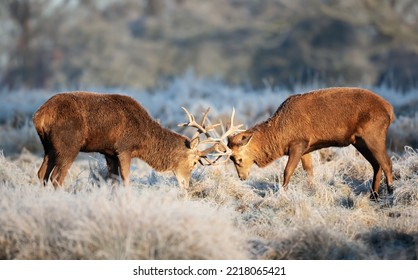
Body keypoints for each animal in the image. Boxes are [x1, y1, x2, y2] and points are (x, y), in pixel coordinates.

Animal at [31, 91, 225, 189]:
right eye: (194, 163)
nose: (186, 187)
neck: (144, 140)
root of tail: (40, 116)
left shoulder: (109, 152)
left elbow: (113, 181)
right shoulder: (124, 148)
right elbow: (126, 180)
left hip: (48, 147)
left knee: (42, 174)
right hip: (68, 145)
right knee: (56, 178)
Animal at [227, 87, 394, 199]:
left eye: (238, 159)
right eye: (231, 159)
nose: (242, 177)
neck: (280, 137)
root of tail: (390, 111)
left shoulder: (298, 143)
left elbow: (288, 171)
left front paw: (282, 193)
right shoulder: (305, 149)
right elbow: (309, 171)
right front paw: (312, 190)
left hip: (374, 135)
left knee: (387, 163)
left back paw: (391, 193)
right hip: (359, 141)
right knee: (376, 164)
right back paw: (374, 195)